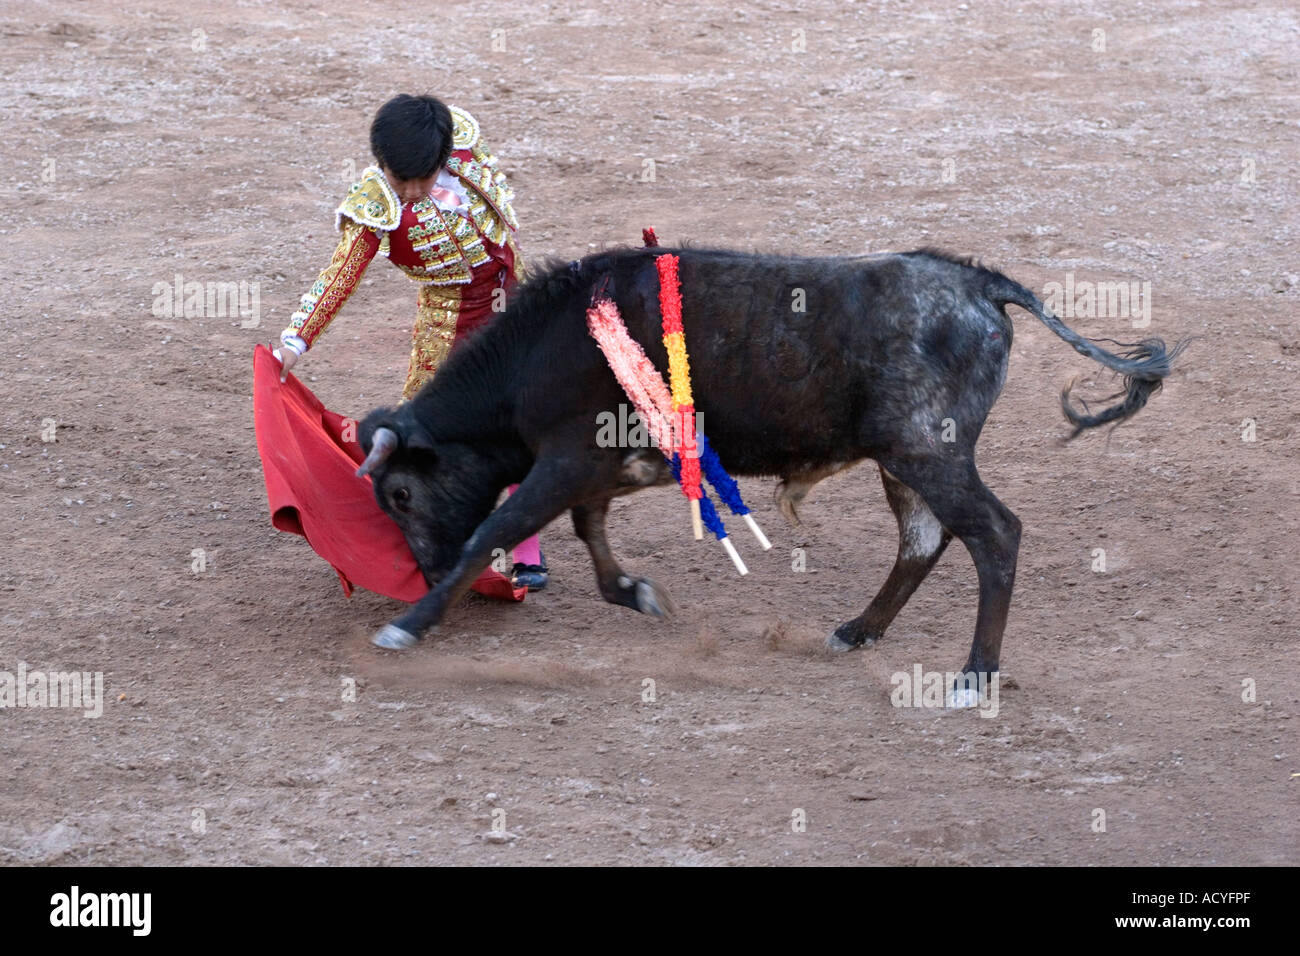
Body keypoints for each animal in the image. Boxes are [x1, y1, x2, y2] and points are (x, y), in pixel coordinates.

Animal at [353, 244, 1180, 681]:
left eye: (399, 494)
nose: (423, 572)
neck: (542, 348)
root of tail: (979, 282)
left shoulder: (564, 458)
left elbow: (496, 529)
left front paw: (411, 624)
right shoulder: (593, 465)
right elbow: (589, 532)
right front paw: (636, 593)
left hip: (928, 450)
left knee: (995, 534)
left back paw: (975, 674)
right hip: (904, 460)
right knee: (923, 541)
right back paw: (856, 631)